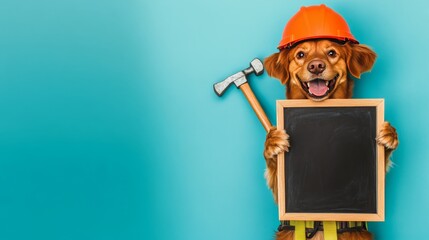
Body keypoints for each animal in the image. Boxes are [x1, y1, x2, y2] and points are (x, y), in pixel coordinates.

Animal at [262, 38, 400, 239]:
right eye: (300, 54)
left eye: (332, 53)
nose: (316, 66)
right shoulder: (281, 192)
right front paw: (272, 141)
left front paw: (389, 135)